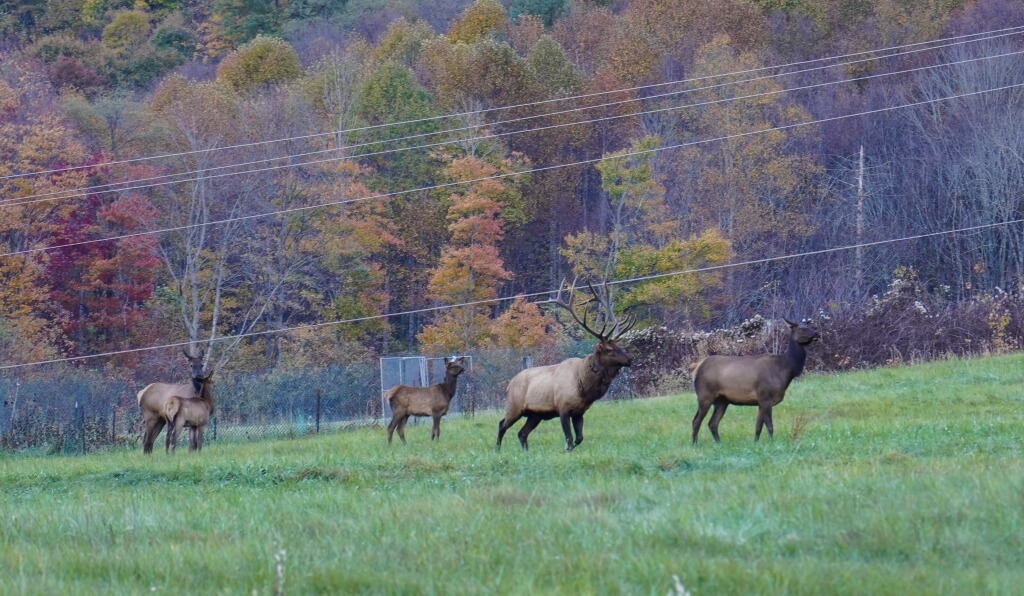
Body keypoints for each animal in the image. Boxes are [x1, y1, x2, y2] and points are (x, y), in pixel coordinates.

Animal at [497, 279, 635, 452]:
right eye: (609, 349)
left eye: (619, 345)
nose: (630, 359)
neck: (584, 386)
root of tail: (509, 384)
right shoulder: (563, 408)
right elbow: (569, 438)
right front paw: (567, 450)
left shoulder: (579, 412)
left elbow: (579, 438)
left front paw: (570, 449)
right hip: (514, 406)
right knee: (502, 424)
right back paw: (497, 450)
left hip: (535, 415)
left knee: (522, 433)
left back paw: (525, 452)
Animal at [690, 318, 820, 444]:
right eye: (801, 328)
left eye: (808, 325)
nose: (816, 333)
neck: (787, 369)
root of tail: (697, 367)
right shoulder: (765, 398)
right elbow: (765, 427)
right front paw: (764, 444)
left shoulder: (763, 402)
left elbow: (763, 427)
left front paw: (762, 443)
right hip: (705, 395)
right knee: (696, 421)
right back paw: (695, 444)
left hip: (722, 401)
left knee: (712, 423)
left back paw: (719, 443)